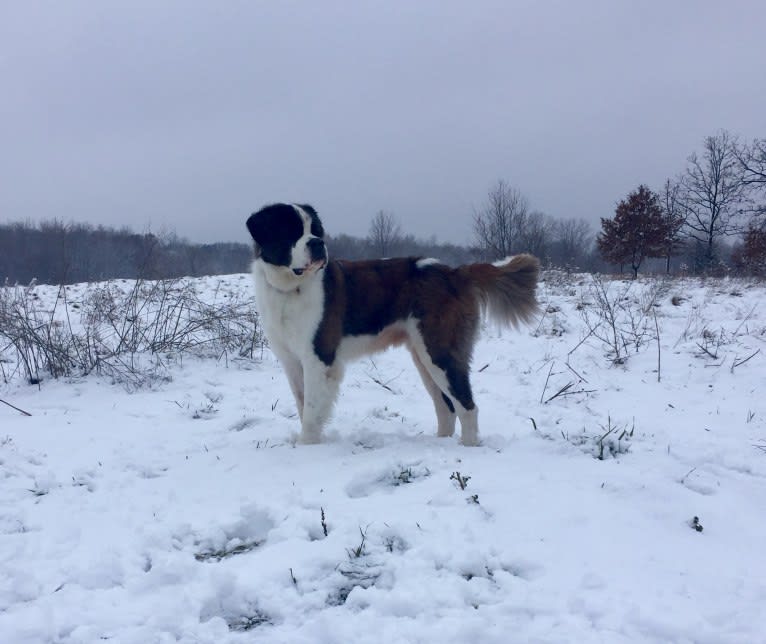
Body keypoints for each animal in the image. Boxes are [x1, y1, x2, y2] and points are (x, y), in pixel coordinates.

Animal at [246, 204, 540, 446]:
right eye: (292, 231)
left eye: (315, 231)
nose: (318, 243)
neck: (289, 288)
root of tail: (454, 272)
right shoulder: (291, 360)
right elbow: (303, 402)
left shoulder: (319, 358)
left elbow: (311, 409)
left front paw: (305, 448)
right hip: (423, 357)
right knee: (446, 407)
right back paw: (440, 443)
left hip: (439, 351)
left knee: (467, 406)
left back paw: (467, 447)